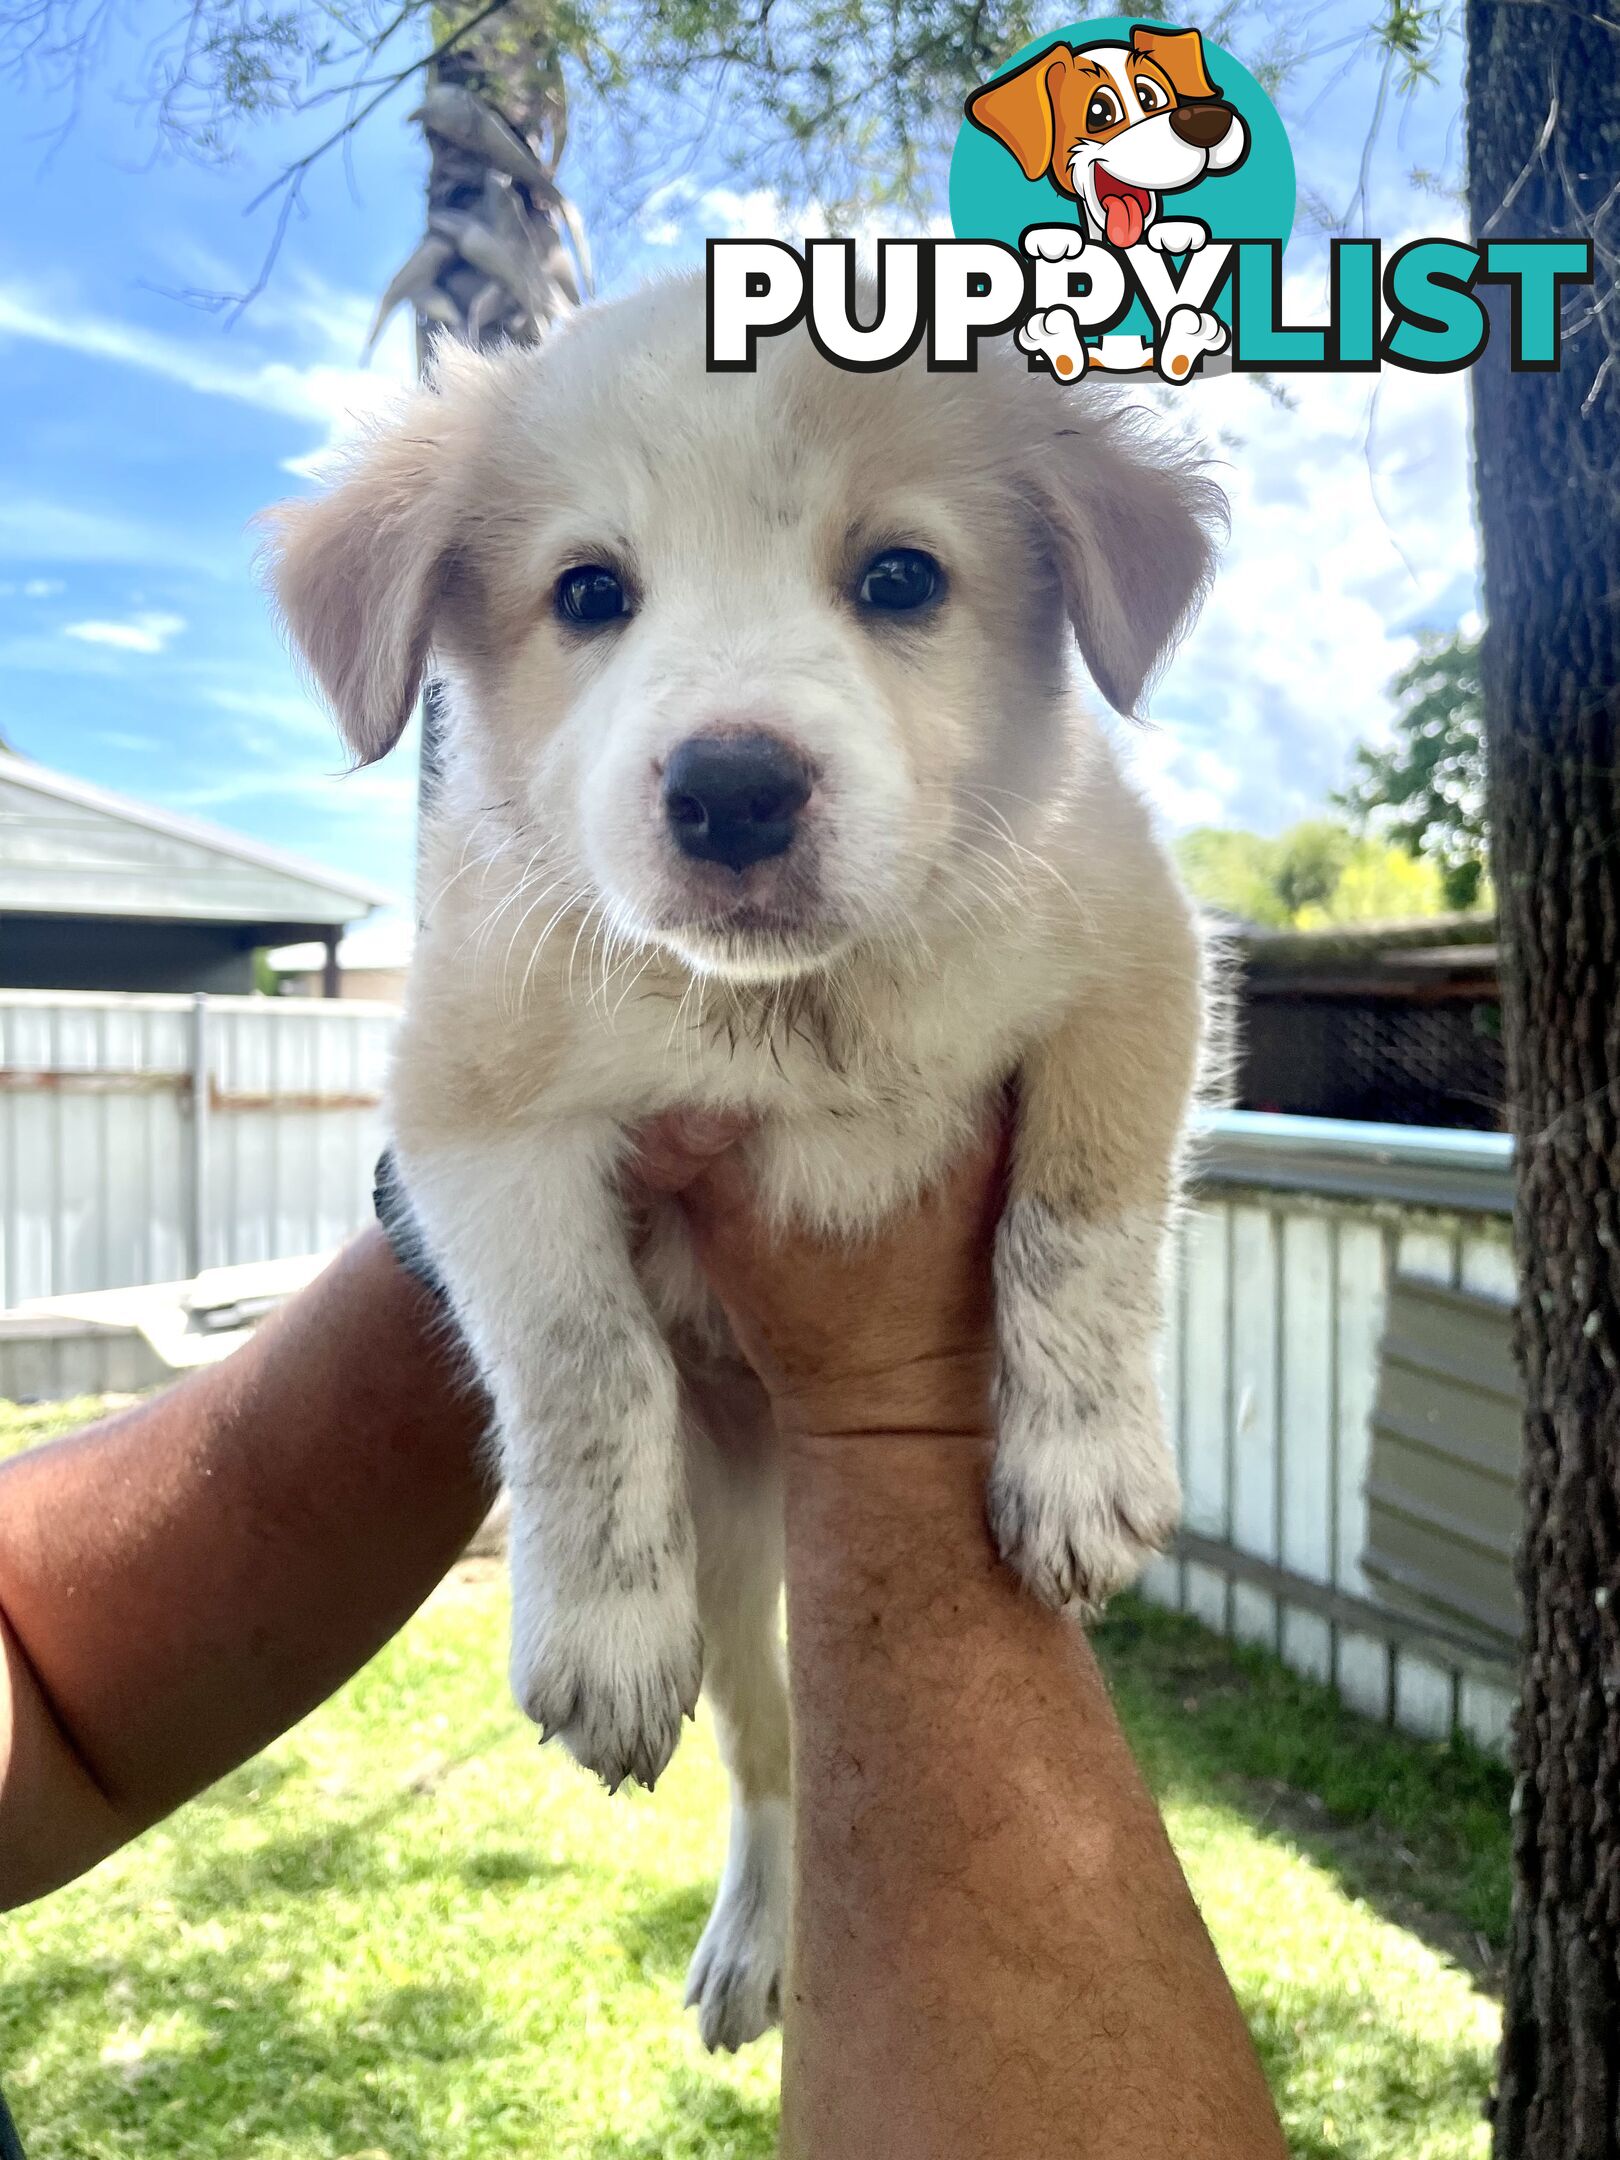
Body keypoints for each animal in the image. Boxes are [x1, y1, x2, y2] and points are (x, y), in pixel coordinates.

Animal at [266, 278, 1226, 2047]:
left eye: (902, 577)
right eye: (588, 592)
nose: (731, 792)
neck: (794, 1011)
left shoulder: (1138, 964)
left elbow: (1082, 1221)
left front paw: (1079, 1466)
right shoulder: (471, 1112)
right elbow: (581, 1363)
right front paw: (598, 1625)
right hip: (733, 1578)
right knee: (772, 1760)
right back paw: (754, 1939)